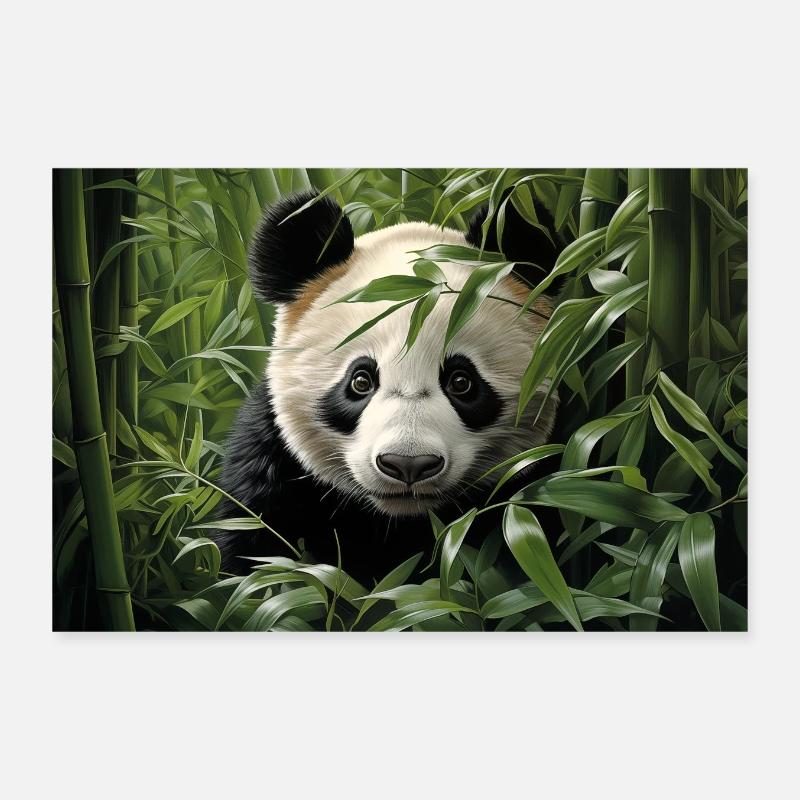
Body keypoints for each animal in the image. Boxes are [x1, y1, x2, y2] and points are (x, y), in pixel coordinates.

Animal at [215, 188, 564, 584]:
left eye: (461, 381)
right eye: (361, 381)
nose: (408, 464)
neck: (395, 521)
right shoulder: (272, 468)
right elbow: (256, 551)